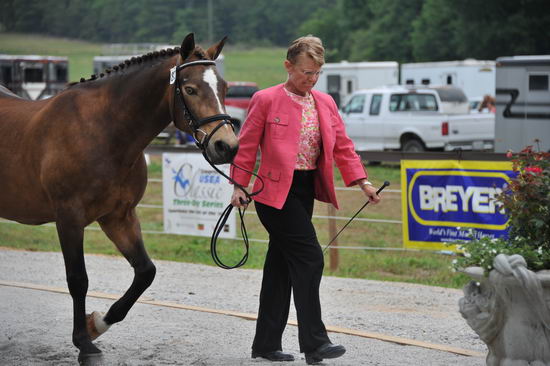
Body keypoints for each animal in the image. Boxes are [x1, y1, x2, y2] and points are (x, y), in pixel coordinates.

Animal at [0, 33, 239, 364]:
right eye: (190, 89)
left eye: (225, 88)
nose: (226, 146)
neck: (104, 132)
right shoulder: (69, 219)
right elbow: (78, 279)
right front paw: (84, 344)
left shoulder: (119, 217)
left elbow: (145, 272)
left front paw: (97, 325)